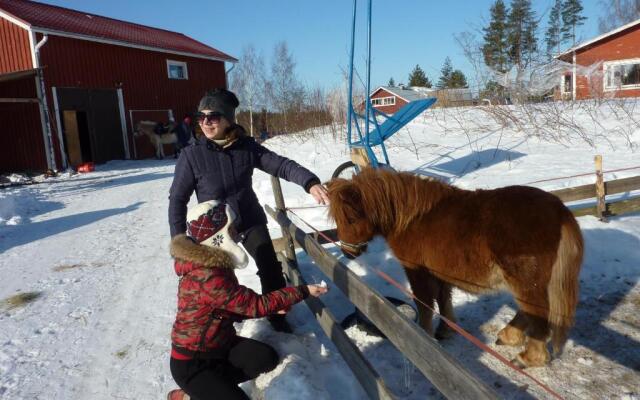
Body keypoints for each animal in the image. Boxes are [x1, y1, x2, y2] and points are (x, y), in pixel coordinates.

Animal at [328, 167, 584, 368]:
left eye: (351, 218)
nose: (347, 252)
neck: (413, 218)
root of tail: (560, 211)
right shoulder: (440, 271)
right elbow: (443, 299)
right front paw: (445, 330)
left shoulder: (416, 271)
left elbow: (425, 303)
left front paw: (424, 335)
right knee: (527, 311)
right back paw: (508, 336)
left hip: (527, 282)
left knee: (538, 316)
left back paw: (529, 358)